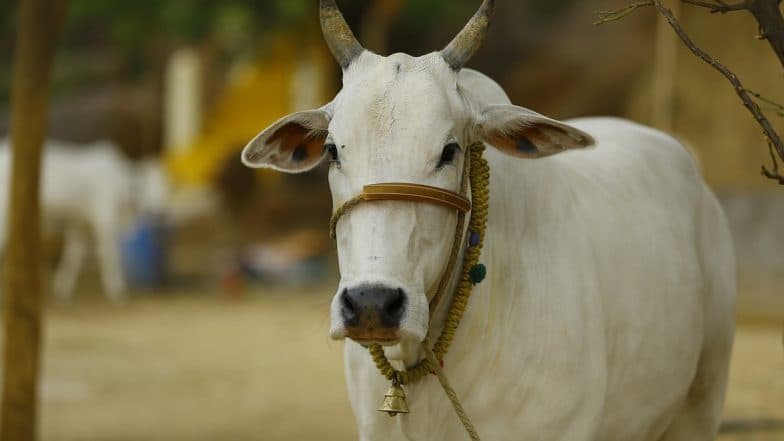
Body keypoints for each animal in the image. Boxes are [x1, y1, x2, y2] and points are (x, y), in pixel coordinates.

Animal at [0, 138, 167, 302]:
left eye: (165, 187)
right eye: (143, 187)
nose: (158, 211)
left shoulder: (80, 224)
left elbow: (73, 255)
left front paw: (62, 288)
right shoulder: (105, 220)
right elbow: (109, 255)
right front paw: (117, 290)